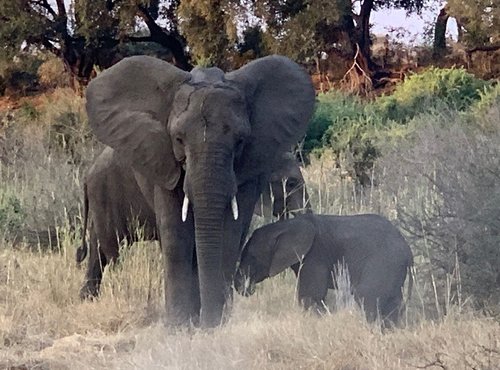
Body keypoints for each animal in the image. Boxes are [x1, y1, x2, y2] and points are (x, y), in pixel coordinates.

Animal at [85, 55, 312, 326]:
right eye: (178, 139)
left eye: (240, 141)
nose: (209, 323)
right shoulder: (163, 162)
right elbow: (176, 238)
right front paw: (179, 327)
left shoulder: (250, 168)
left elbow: (229, 236)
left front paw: (213, 325)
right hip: (103, 192)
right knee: (108, 249)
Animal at [234, 214, 414, 324]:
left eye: (253, 257)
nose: (247, 289)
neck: (284, 226)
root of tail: (408, 249)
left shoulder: (315, 255)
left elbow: (310, 296)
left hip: (384, 262)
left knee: (367, 296)